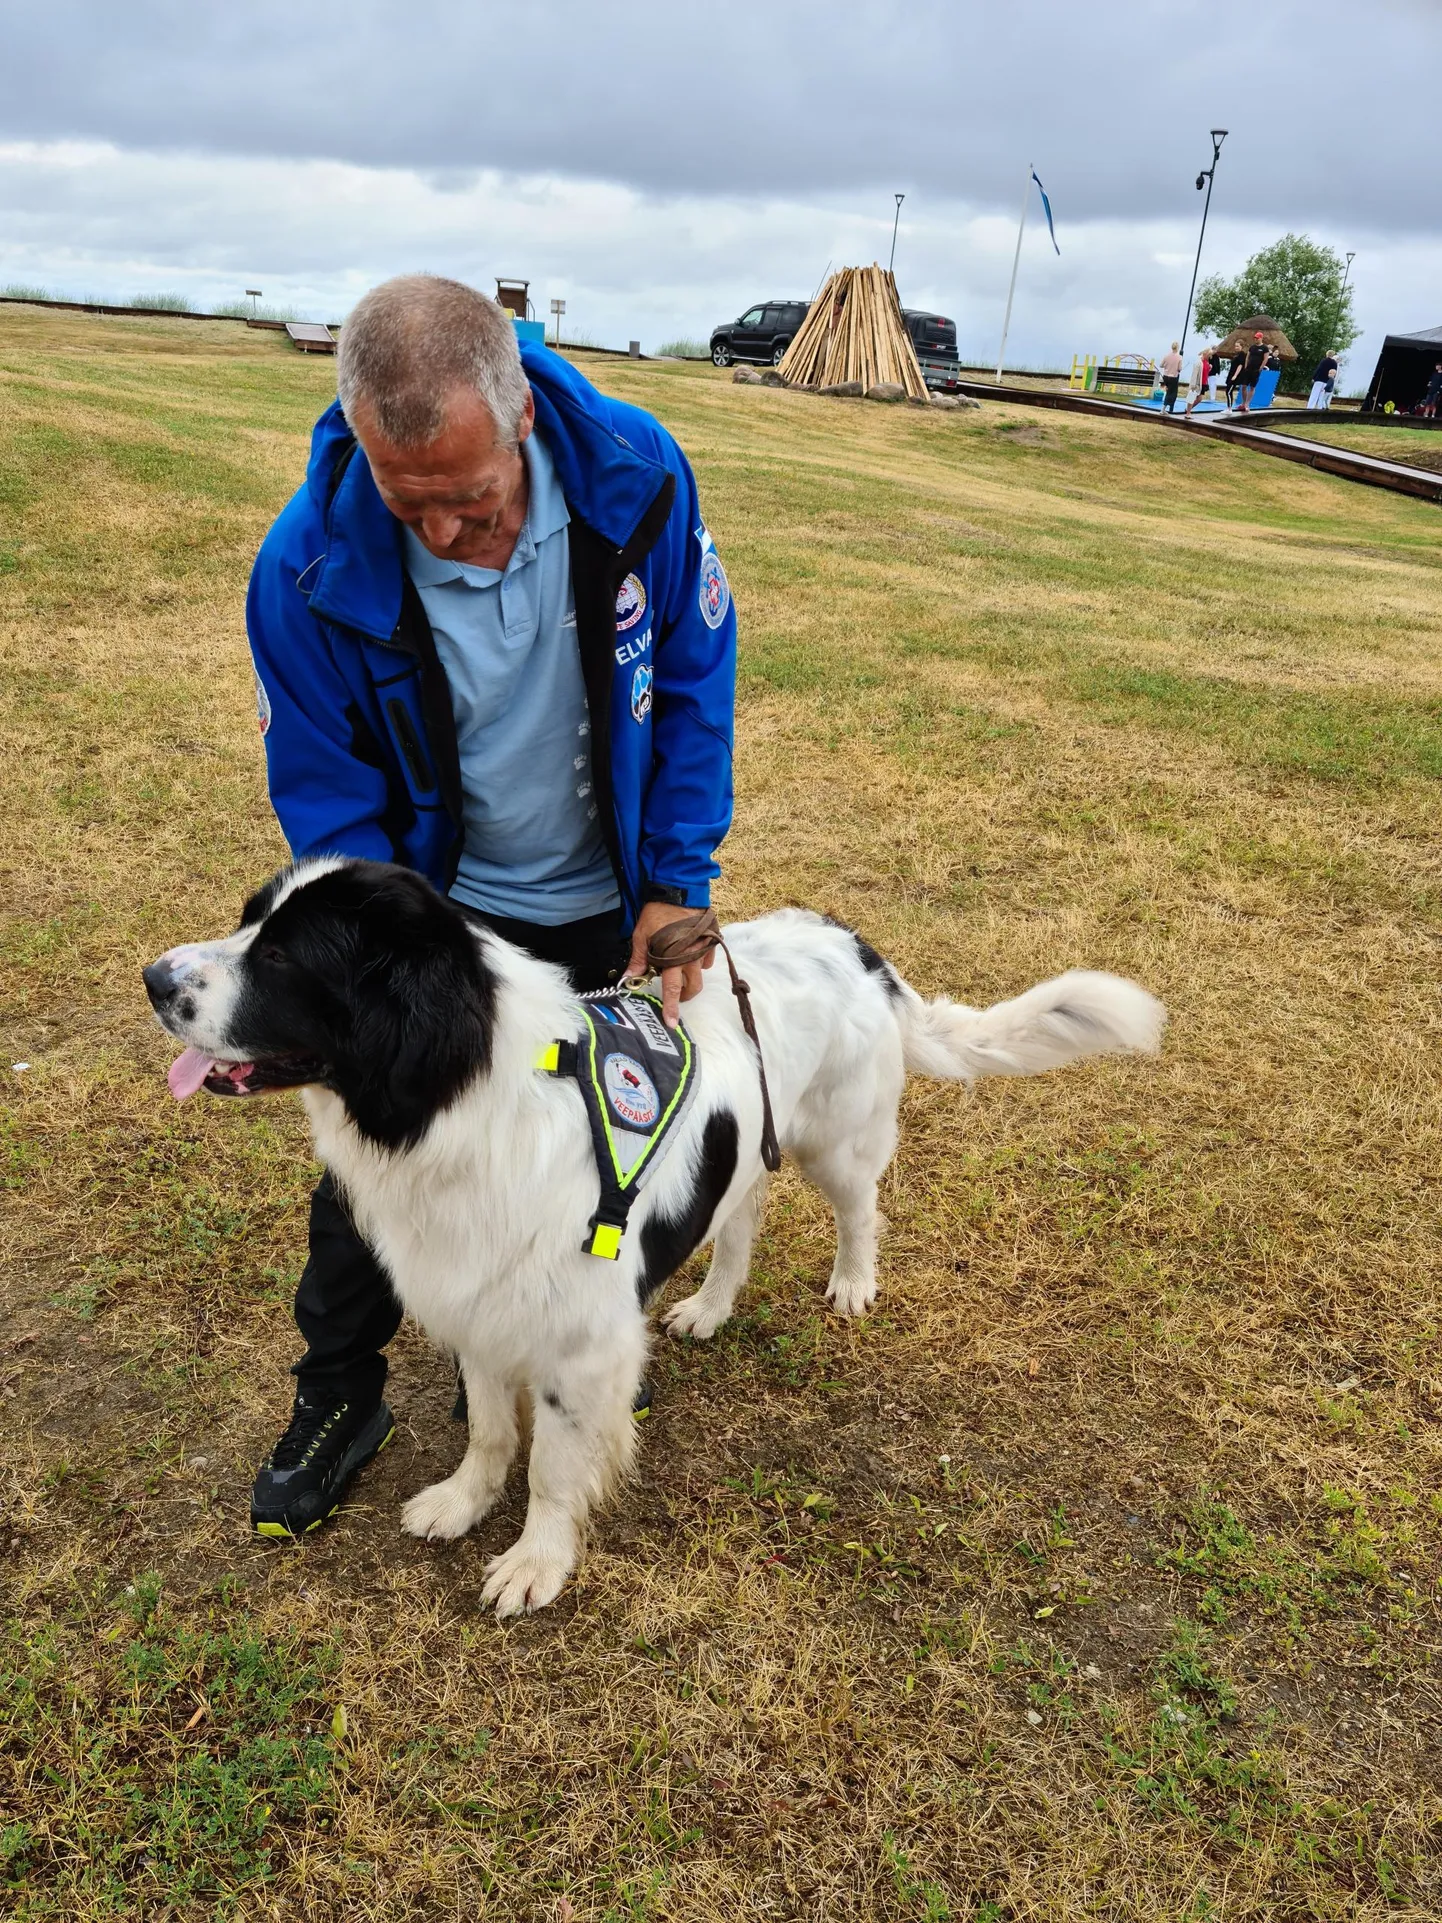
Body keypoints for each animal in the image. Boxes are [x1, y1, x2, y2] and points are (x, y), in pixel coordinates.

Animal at [141, 865, 1168, 1615]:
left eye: (284, 956)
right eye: (249, 923)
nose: (153, 978)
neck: (467, 1091)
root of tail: (854, 942)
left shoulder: (580, 1342)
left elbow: (554, 1464)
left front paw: (536, 1560)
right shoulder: (479, 1300)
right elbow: (489, 1428)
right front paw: (464, 1501)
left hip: (839, 1142)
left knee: (859, 1207)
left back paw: (852, 1281)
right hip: (746, 1146)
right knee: (741, 1220)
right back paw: (710, 1306)